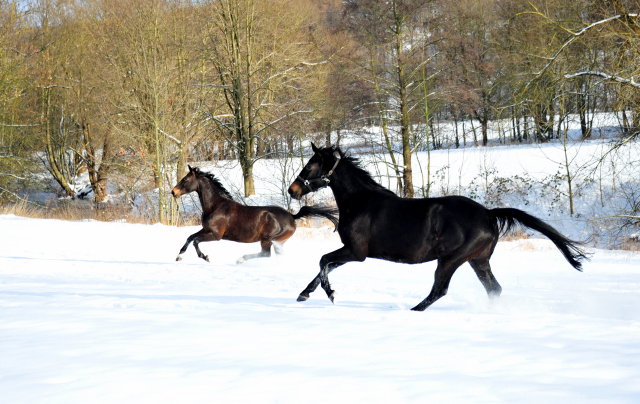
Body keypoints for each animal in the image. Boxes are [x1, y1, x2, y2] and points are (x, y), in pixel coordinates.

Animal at [170, 165, 340, 264]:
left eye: (185, 179)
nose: (173, 192)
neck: (216, 206)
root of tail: (292, 217)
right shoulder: (206, 229)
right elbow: (190, 237)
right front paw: (179, 256)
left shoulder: (216, 235)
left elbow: (196, 241)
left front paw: (205, 257)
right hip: (276, 241)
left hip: (268, 239)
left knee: (266, 254)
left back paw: (241, 259)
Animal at [288, 144, 588, 310]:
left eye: (311, 165)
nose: (293, 190)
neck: (360, 201)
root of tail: (488, 214)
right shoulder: (351, 251)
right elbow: (324, 266)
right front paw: (304, 294)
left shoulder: (356, 251)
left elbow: (323, 261)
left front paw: (331, 295)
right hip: (478, 260)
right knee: (493, 289)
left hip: (451, 259)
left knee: (439, 290)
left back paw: (412, 310)